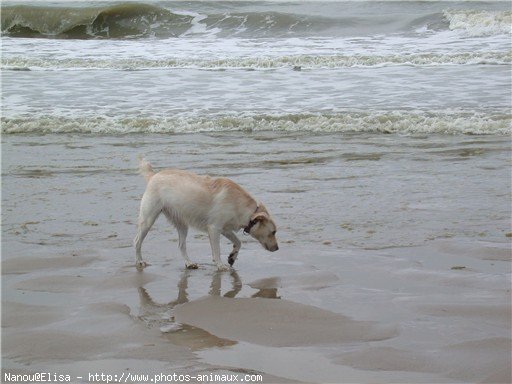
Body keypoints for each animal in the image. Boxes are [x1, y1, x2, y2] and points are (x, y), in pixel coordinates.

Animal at [135, 158, 280, 270]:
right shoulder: (214, 229)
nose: (278, 248)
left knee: (181, 245)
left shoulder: (225, 229)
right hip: (148, 220)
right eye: (273, 232)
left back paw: (189, 263)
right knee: (137, 241)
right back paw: (140, 261)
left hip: (182, 225)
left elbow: (238, 242)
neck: (245, 209)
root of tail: (153, 176)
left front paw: (232, 257)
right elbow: (217, 250)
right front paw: (220, 265)